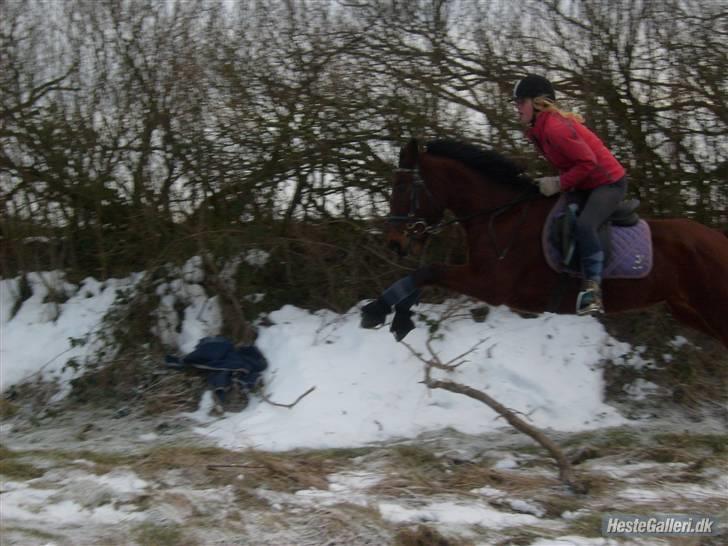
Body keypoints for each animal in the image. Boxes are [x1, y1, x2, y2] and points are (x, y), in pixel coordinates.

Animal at [362, 137, 728, 348]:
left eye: (401, 188)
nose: (394, 243)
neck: (501, 214)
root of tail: (718, 240)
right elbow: (425, 275)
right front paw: (397, 315)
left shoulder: (491, 285)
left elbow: (428, 271)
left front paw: (377, 311)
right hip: (690, 311)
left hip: (713, 310)